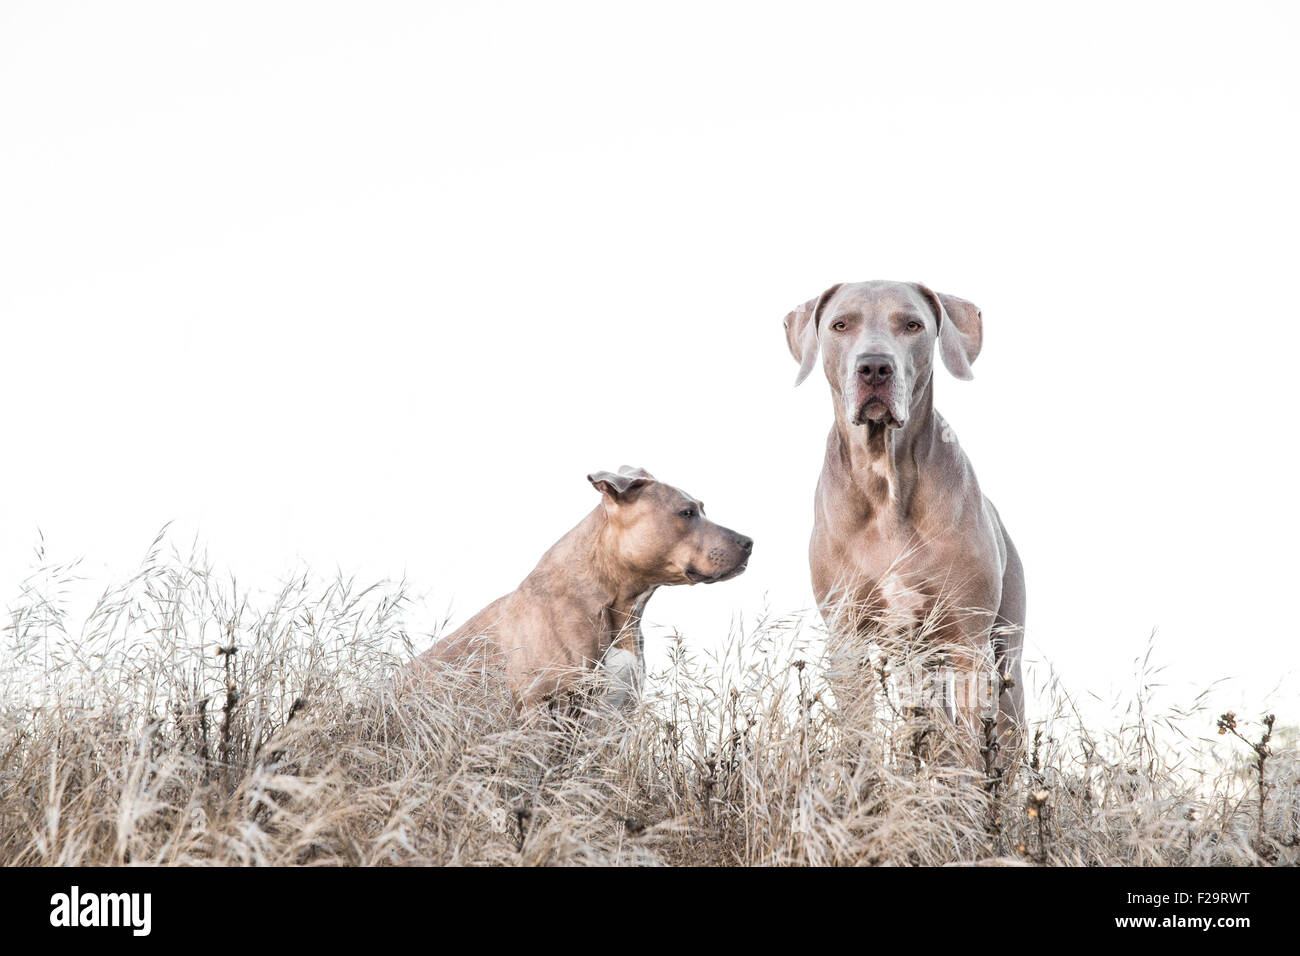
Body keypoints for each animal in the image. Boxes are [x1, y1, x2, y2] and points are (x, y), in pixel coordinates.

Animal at [780, 280, 1024, 749]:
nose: (874, 366)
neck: (887, 484)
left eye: (912, 325)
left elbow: (973, 745)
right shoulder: (846, 639)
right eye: (841, 325)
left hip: (1004, 655)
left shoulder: (969, 643)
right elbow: (857, 734)